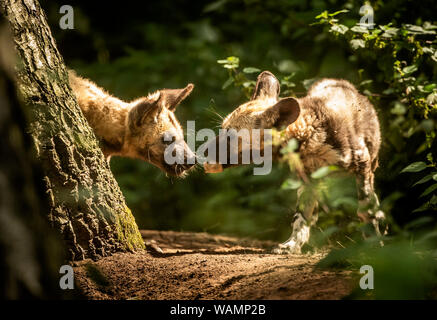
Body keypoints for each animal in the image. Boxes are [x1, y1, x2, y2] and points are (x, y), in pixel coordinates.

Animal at [203, 71, 384, 254]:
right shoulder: (308, 181)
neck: (310, 135)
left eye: (231, 136)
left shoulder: (362, 166)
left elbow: (366, 209)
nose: (203, 151)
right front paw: (291, 245)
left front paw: (374, 246)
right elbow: (301, 217)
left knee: (373, 203)